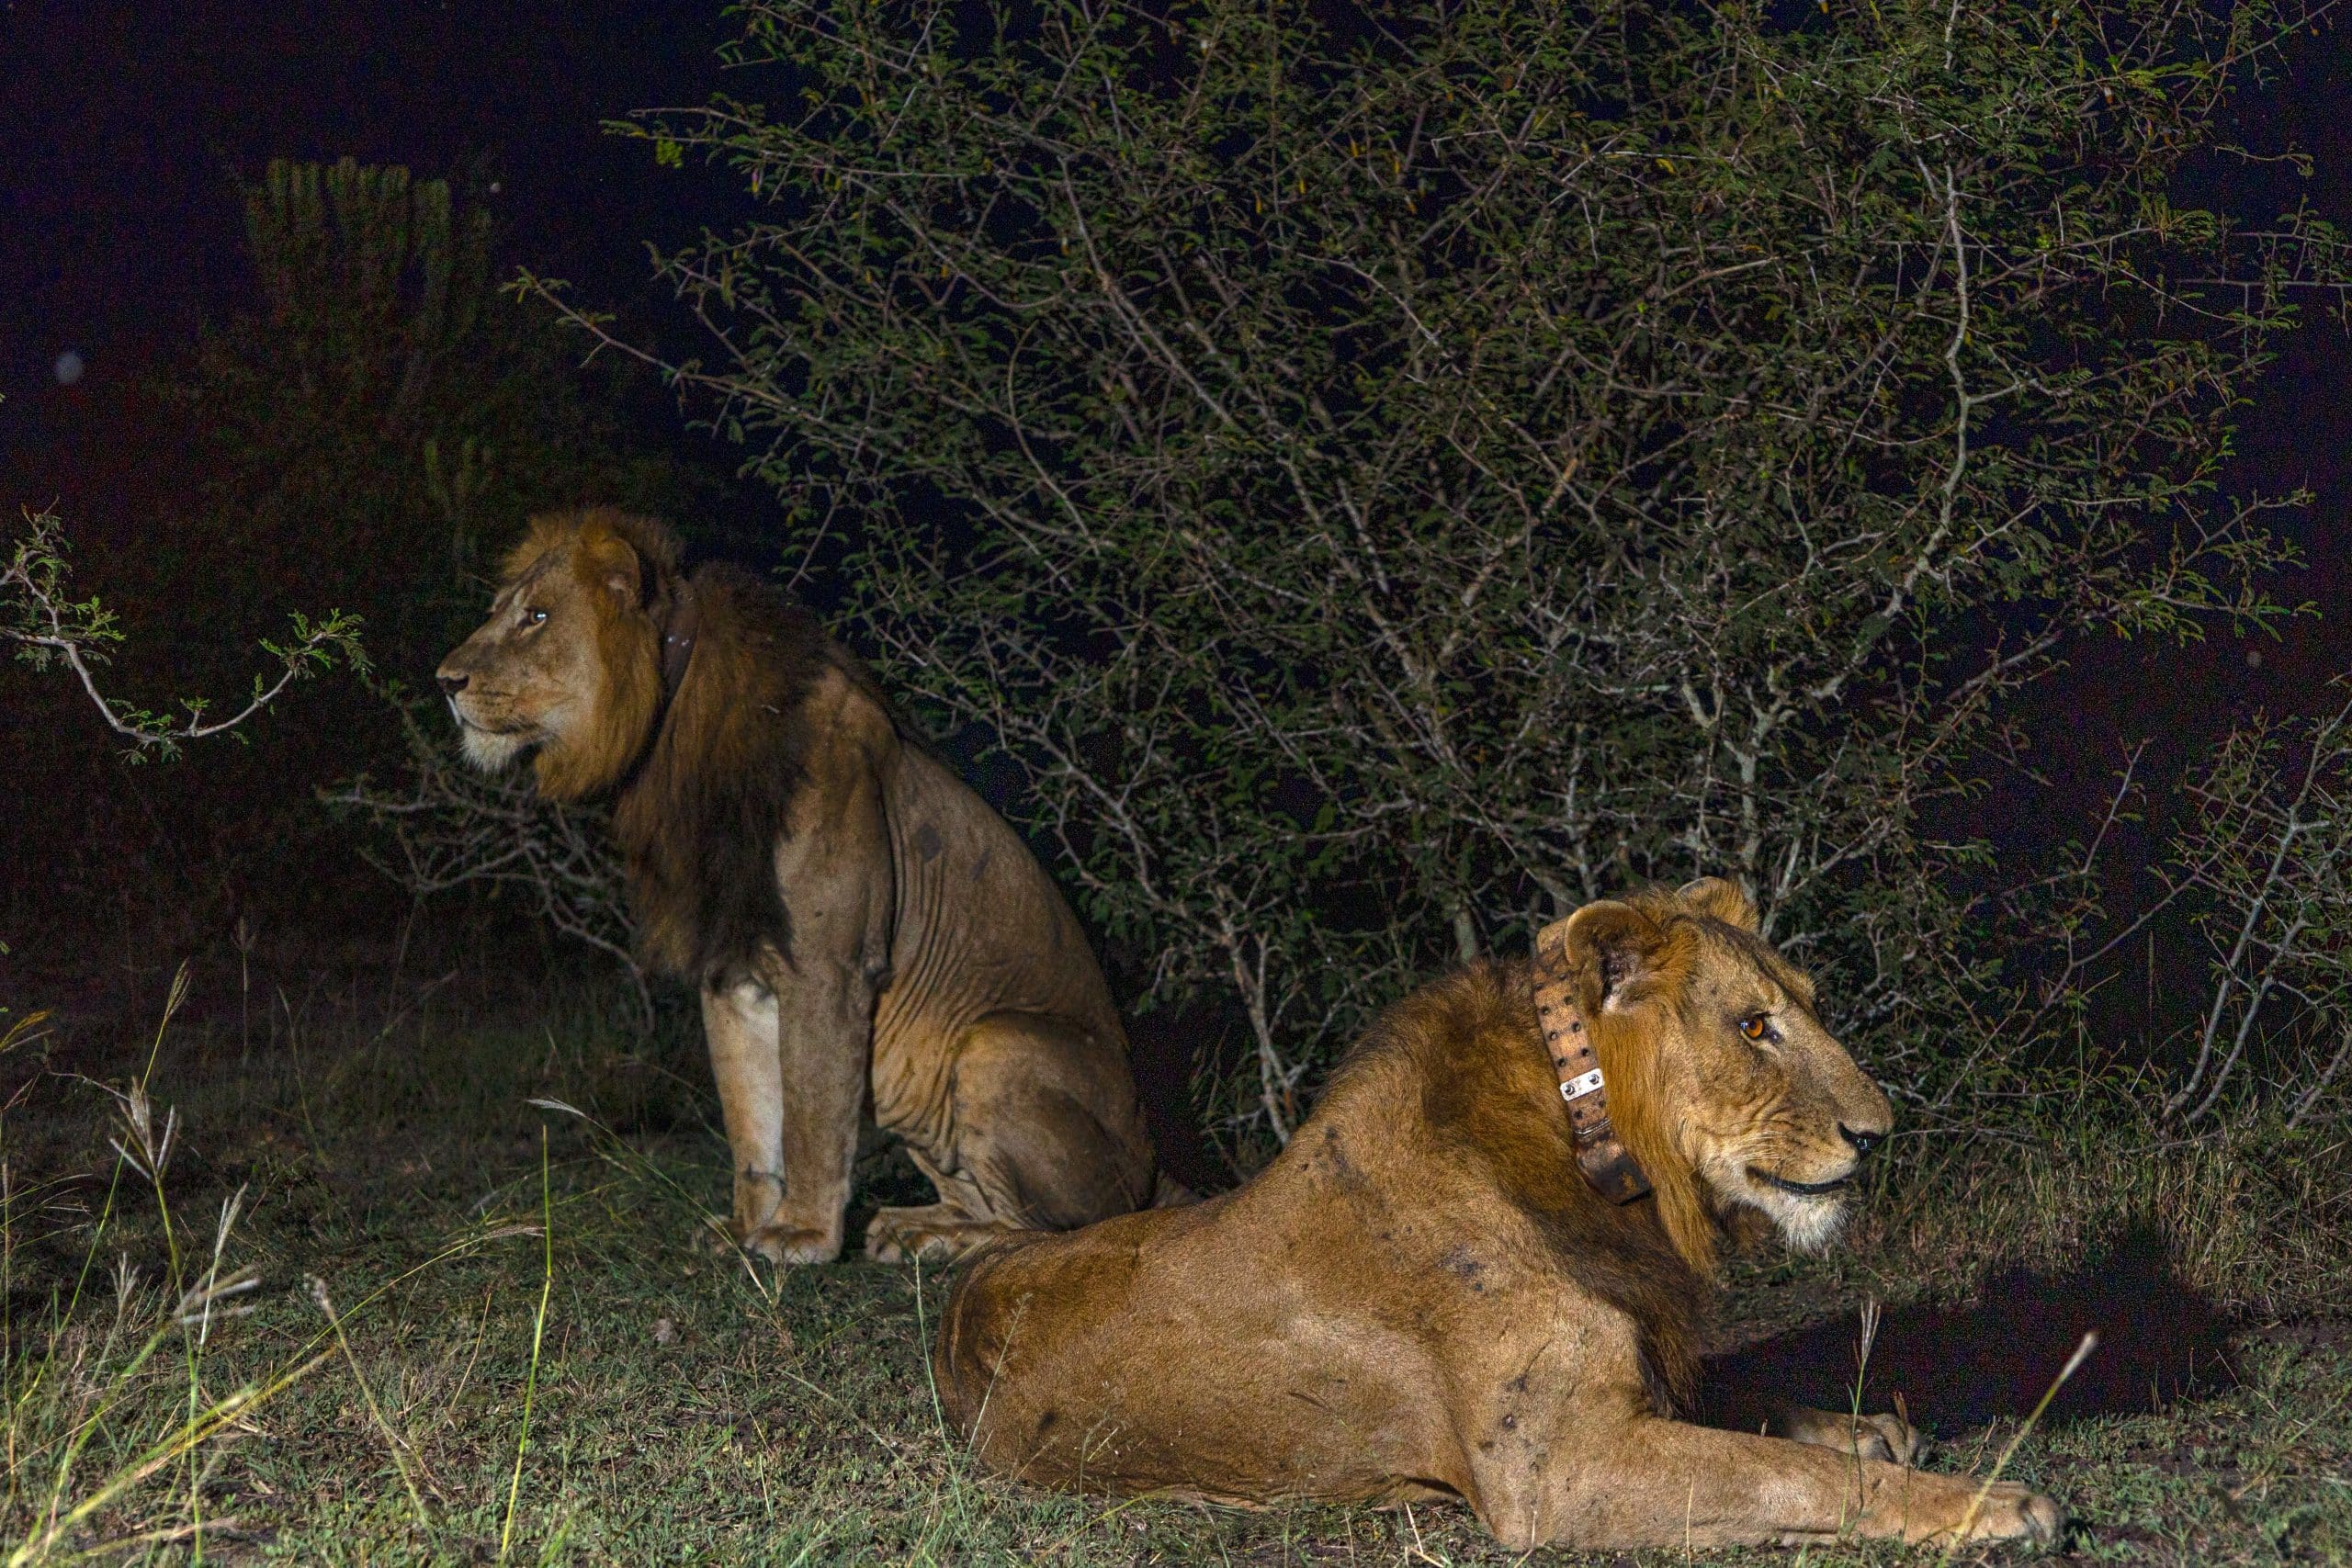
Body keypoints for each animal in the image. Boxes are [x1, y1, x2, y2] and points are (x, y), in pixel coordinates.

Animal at [435, 506, 1172, 1264]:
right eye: (500, 610)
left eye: (536, 616)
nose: (445, 681)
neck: (674, 739)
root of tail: (1159, 1168)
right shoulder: (729, 966)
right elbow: (752, 1119)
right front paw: (745, 1226)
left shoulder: (828, 965)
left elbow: (813, 1111)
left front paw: (802, 1234)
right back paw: (916, 1224)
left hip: (993, 1045)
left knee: (1056, 1226)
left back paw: (942, 1238)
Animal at [934, 879, 2064, 1549]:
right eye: (1753, 1027)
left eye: (1810, 1007)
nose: (1878, 1132)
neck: (1604, 1169)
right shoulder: (1555, 1476)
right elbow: (1787, 1476)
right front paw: (1993, 1502)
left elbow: (1759, 1408)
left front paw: (1869, 1427)